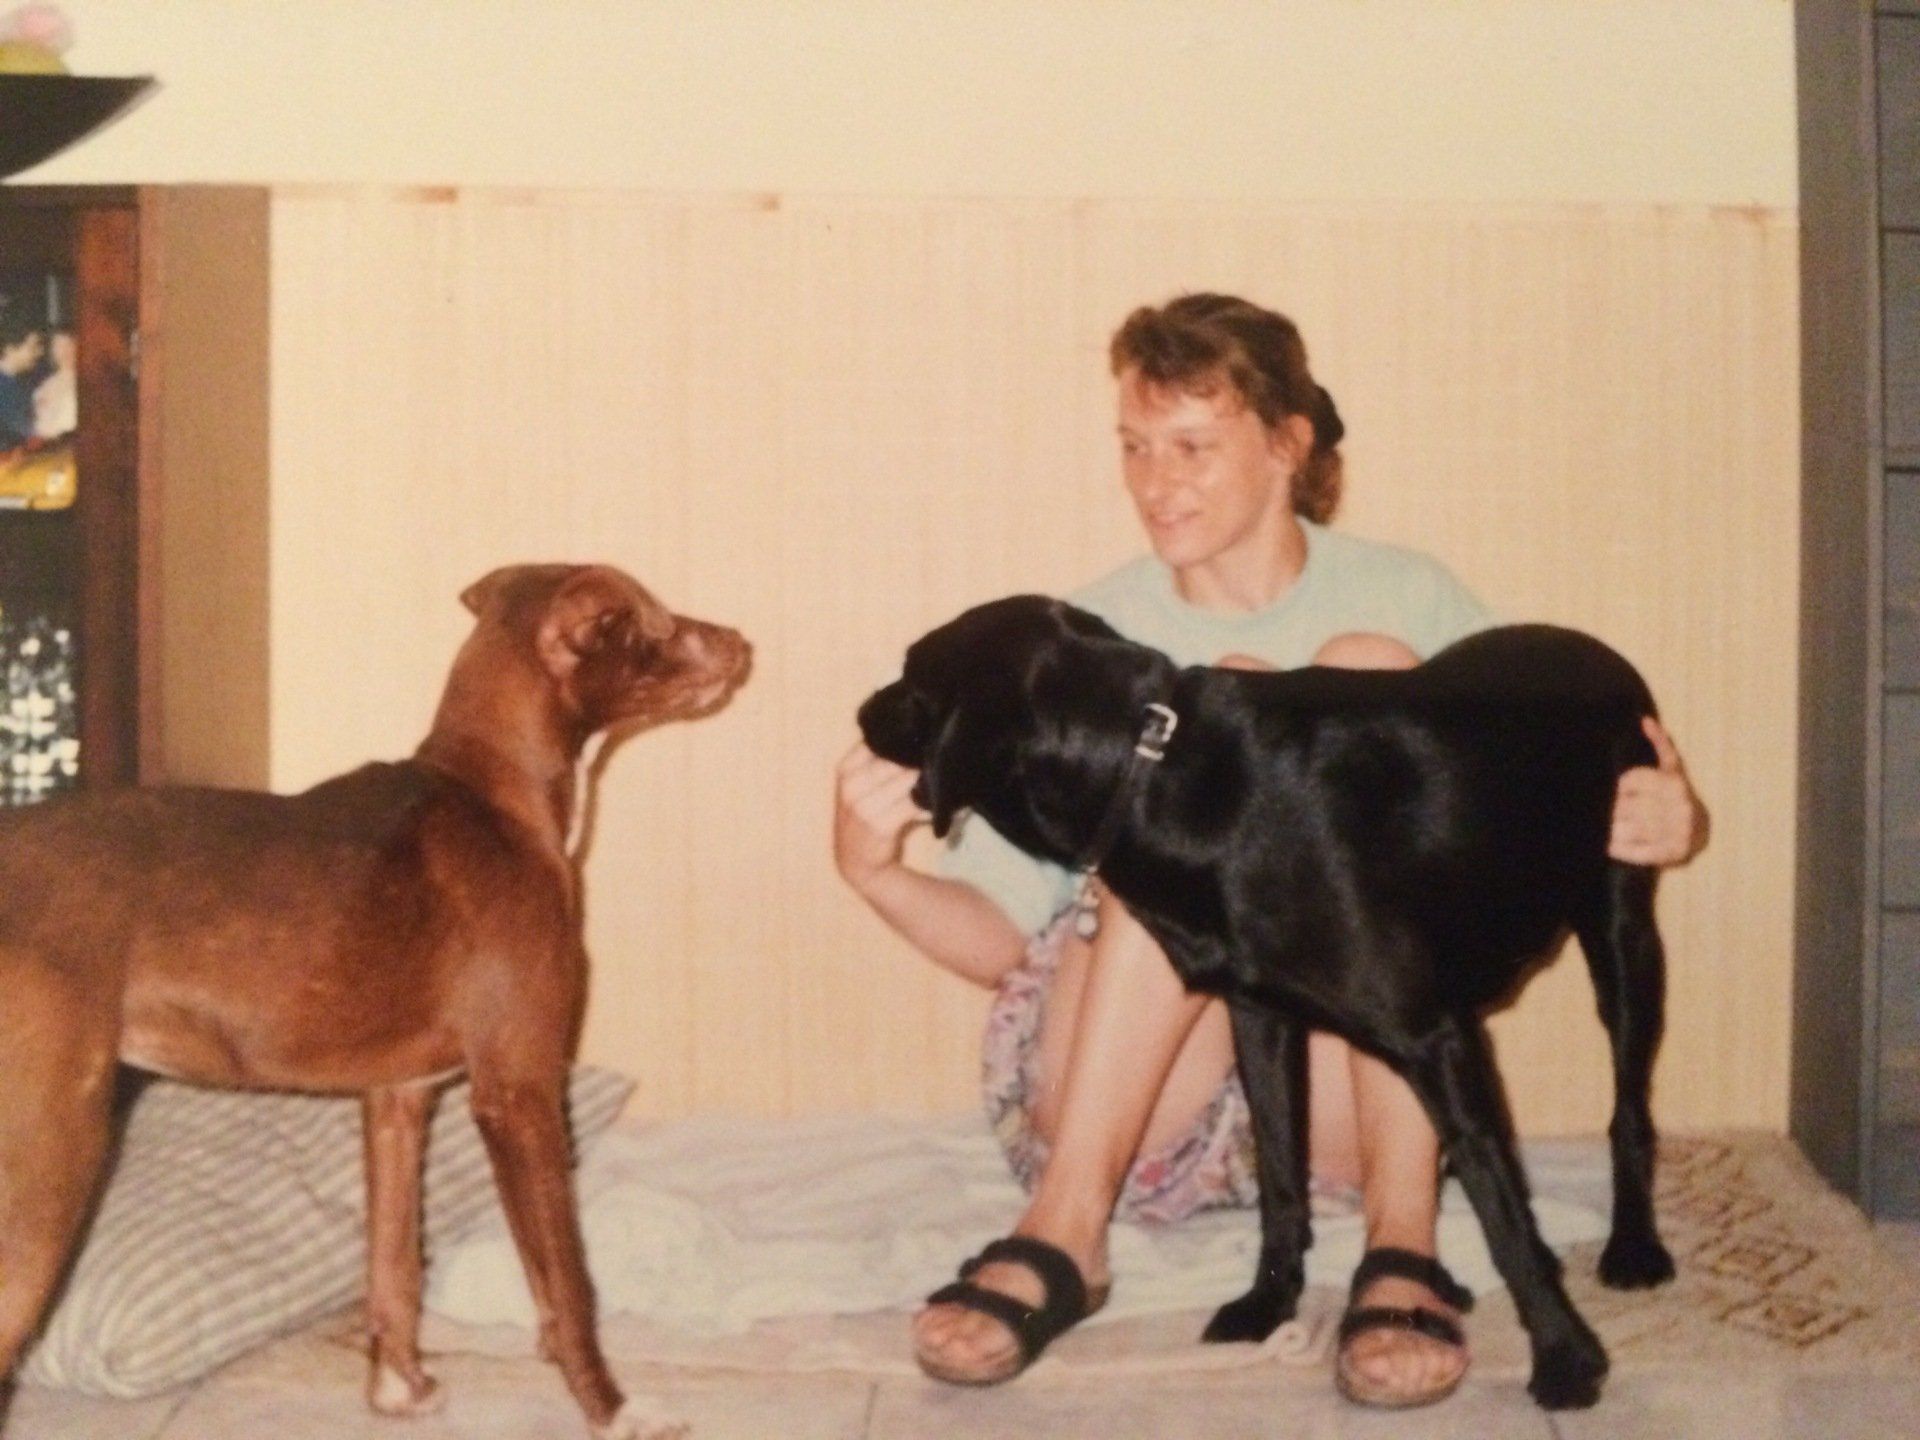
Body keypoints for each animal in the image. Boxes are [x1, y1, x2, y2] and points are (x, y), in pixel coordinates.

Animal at [0, 563, 749, 1440]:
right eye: (655, 622)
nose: (741, 643)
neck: (495, 796)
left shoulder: (397, 1099)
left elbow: (395, 1267)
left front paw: (398, 1388)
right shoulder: (520, 1089)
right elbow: (567, 1283)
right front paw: (613, 1408)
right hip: (51, 1152)